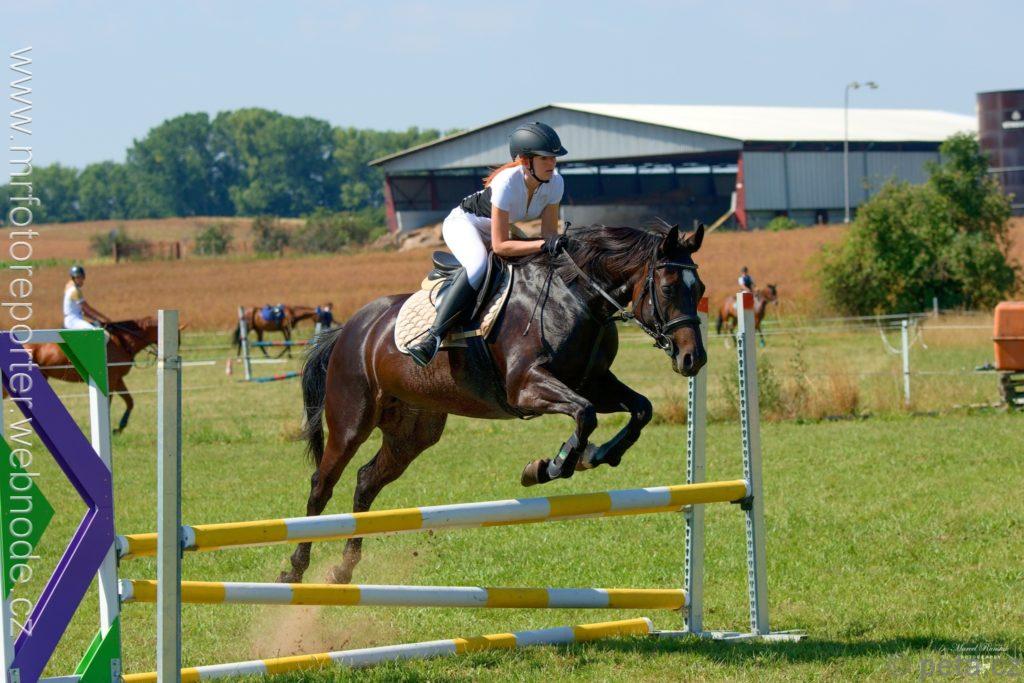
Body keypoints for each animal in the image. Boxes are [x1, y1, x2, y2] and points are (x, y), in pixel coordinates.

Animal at [25, 317, 162, 433]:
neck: (123, 342)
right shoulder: (111, 380)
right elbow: (110, 404)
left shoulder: (117, 380)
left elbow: (130, 401)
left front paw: (120, 427)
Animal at [279, 222, 707, 585]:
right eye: (669, 288)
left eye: (700, 289)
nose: (694, 359)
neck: (578, 299)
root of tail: (350, 328)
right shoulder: (527, 388)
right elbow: (584, 415)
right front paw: (548, 466)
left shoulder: (595, 383)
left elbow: (640, 409)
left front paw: (596, 456)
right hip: (352, 420)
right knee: (322, 484)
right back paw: (294, 570)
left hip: (412, 433)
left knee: (367, 481)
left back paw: (343, 569)